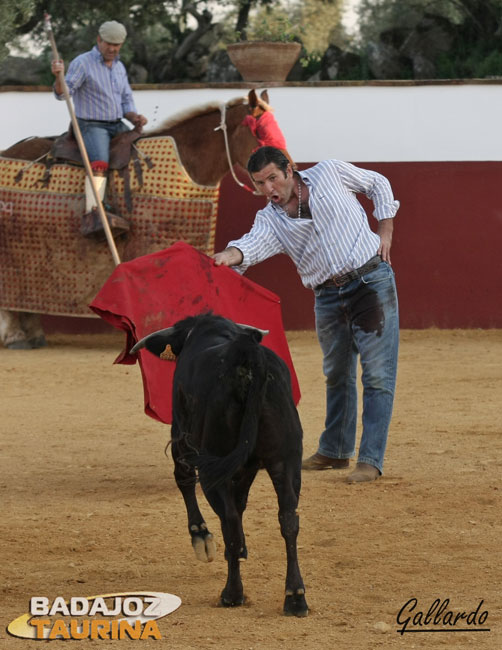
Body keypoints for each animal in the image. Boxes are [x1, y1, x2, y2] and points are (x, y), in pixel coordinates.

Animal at [131, 312, 308, 616]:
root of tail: (247, 358)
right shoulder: (247, 466)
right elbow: (242, 502)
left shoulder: (182, 433)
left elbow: (186, 480)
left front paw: (201, 537)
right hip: (286, 461)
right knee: (288, 520)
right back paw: (295, 597)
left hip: (210, 466)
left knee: (229, 519)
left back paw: (232, 593)